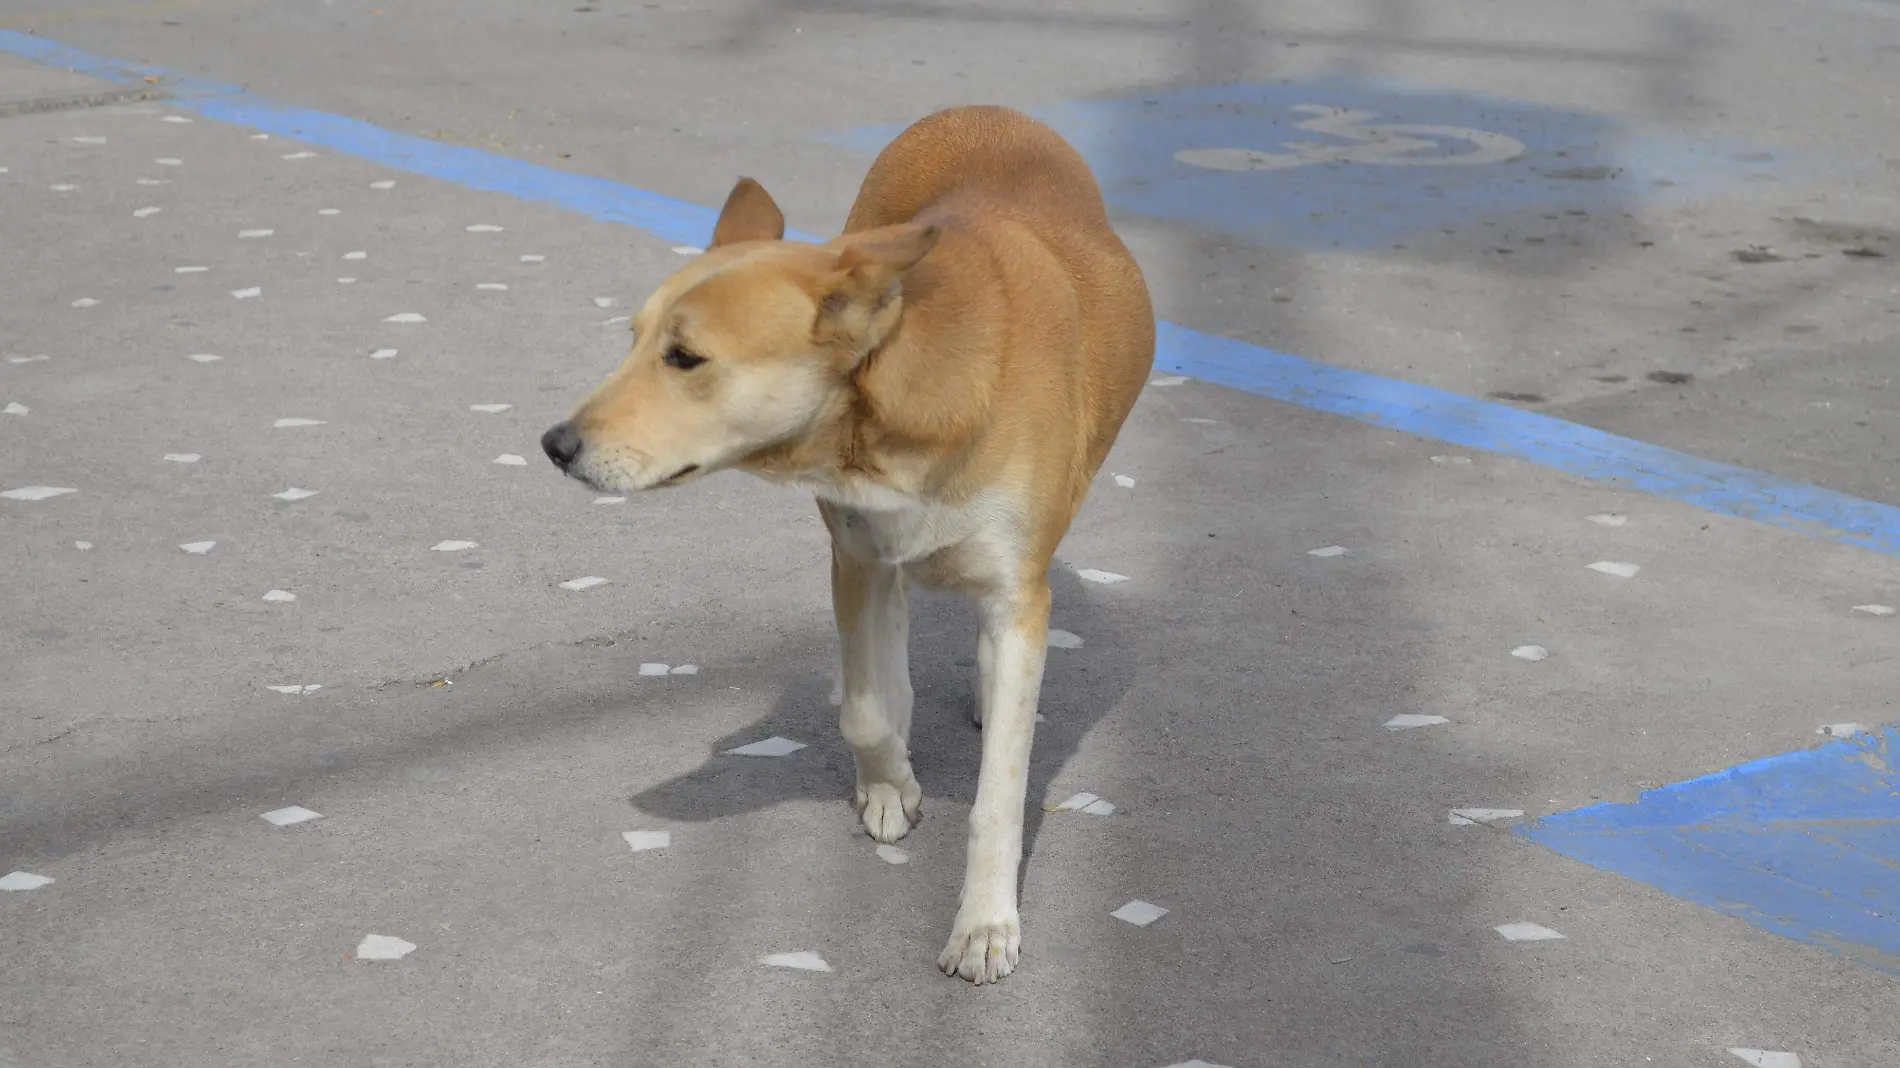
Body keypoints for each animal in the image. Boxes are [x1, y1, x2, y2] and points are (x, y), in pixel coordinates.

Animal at [543, 104, 1147, 980]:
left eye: (685, 358)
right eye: (633, 340)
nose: (554, 445)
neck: (906, 393)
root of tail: (983, 112)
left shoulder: (1016, 593)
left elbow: (999, 792)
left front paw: (985, 922)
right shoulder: (856, 556)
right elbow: (864, 708)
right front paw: (890, 783)